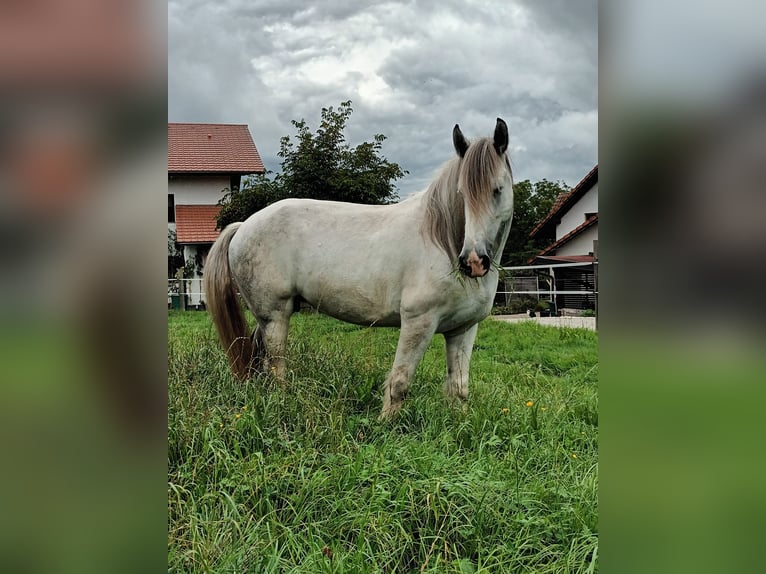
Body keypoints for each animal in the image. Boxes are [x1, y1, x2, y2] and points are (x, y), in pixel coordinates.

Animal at [206, 119, 516, 420]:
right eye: (462, 194)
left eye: (497, 190)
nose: (473, 261)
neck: (444, 244)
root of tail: (244, 226)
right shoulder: (418, 322)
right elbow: (400, 382)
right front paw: (386, 426)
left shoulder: (463, 330)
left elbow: (459, 389)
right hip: (275, 316)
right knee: (276, 367)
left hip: (269, 317)